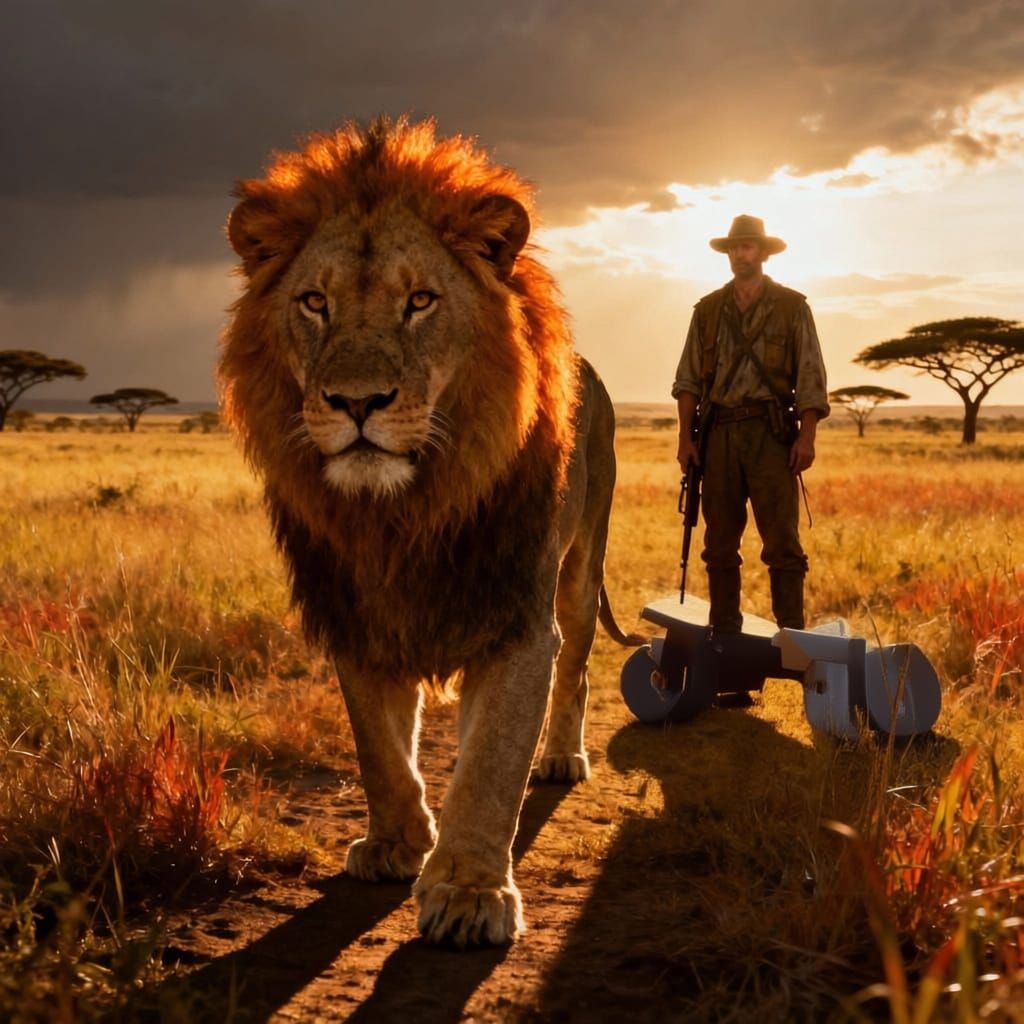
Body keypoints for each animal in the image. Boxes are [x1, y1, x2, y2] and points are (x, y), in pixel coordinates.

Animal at [219, 117, 639, 948]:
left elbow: (490, 764)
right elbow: (379, 747)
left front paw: (470, 891)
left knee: (576, 669)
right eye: (314, 301)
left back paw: (562, 757)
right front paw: (396, 843)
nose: (356, 403)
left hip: (582, 568)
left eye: (420, 300)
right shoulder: (355, 613)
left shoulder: (515, 617)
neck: (400, 513)